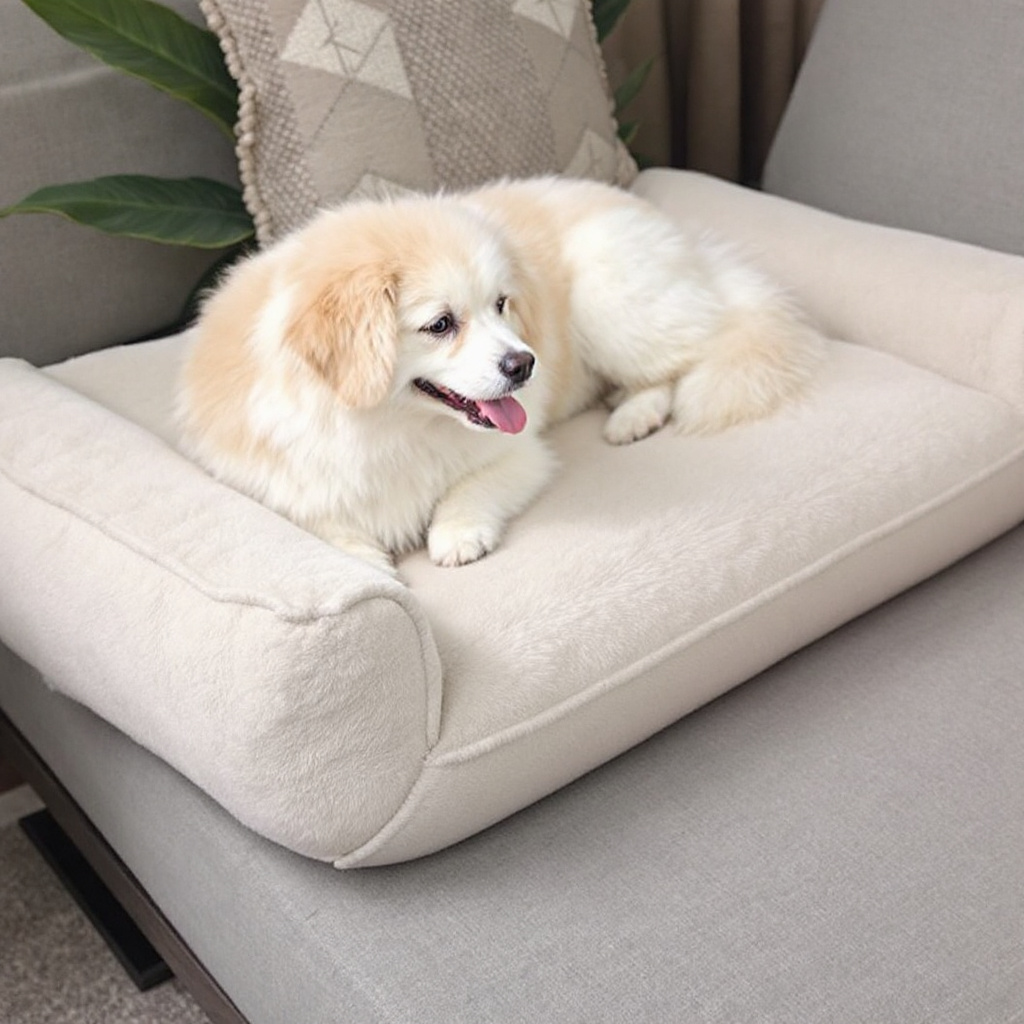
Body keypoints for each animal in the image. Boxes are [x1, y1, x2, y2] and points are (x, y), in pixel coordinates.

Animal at [176, 176, 824, 576]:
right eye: (440, 324)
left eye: (501, 304)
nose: (525, 364)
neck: (384, 429)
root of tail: (686, 242)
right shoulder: (269, 479)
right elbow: (317, 520)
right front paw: (368, 559)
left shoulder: (523, 454)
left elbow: (471, 488)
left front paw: (456, 535)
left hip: (611, 300)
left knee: (687, 358)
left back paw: (632, 416)